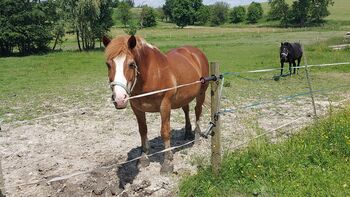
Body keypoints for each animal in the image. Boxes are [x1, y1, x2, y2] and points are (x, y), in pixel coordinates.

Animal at [102, 35, 209, 174]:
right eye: (108, 64)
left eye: (131, 64)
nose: (120, 99)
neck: (152, 75)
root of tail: (196, 52)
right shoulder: (137, 108)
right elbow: (143, 131)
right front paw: (143, 158)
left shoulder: (165, 106)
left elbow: (165, 132)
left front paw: (168, 162)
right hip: (184, 96)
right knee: (186, 110)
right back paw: (187, 133)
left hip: (201, 93)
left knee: (197, 111)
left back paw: (196, 137)